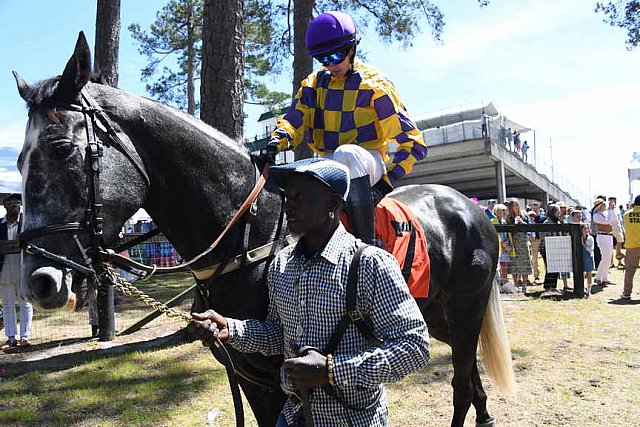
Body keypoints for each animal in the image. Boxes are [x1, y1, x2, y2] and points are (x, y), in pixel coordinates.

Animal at [13, 33, 516, 427]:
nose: (40, 280)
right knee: (471, 381)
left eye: (61, 148)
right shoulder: (250, 375)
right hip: (439, 316)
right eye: (18, 160)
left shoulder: (283, 377)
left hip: (466, 312)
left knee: (461, 383)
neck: (249, 238)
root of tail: (470, 208)